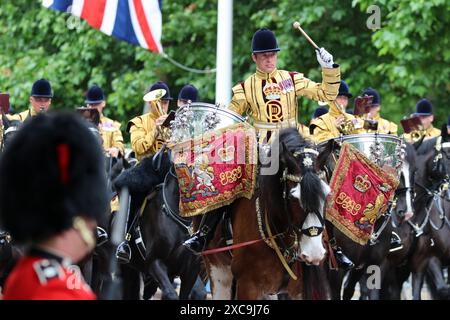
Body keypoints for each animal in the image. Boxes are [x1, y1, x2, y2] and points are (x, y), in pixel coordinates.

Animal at [202, 128, 328, 300]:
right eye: (292, 197)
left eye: (327, 195)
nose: (314, 254)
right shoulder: (247, 286)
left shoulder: (299, 291)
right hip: (218, 270)